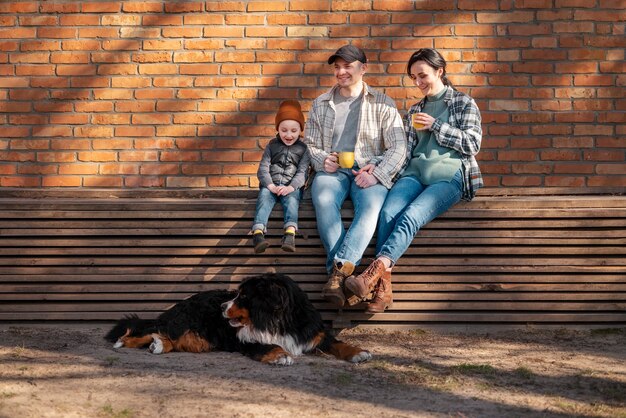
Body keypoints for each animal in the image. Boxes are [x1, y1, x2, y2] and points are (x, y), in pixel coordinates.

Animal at [105, 272, 370, 364]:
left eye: (243, 296)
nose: (223, 306)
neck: (277, 322)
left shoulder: (313, 334)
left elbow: (339, 343)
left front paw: (359, 352)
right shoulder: (247, 341)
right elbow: (269, 345)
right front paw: (281, 355)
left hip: (201, 339)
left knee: (170, 338)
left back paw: (159, 345)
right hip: (187, 322)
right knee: (148, 330)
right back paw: (125, 342)